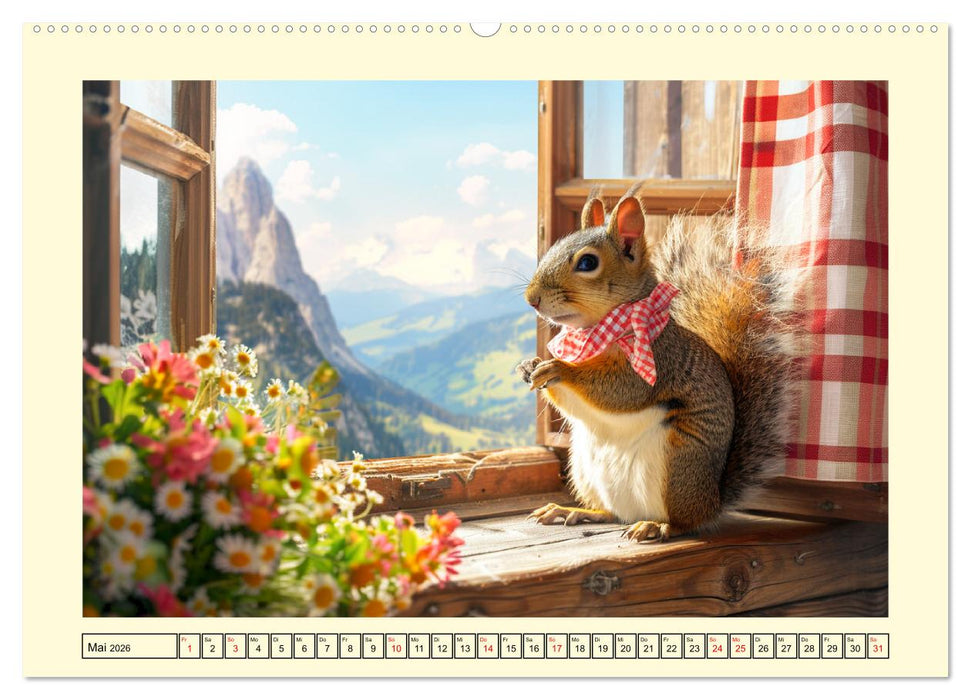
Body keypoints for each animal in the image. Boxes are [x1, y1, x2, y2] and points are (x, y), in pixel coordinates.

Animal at [517, 190, 799, 542]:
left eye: (587, 263)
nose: (531, 299)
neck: (600, 331)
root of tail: (713, 500)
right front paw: (531, 365)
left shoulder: (660, 362)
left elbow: (622, 391)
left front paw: (560, 368)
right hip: (583, 469)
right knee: (610, 512)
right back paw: (572, 510)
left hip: (678, 467)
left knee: (684, 521)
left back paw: (656, 525)